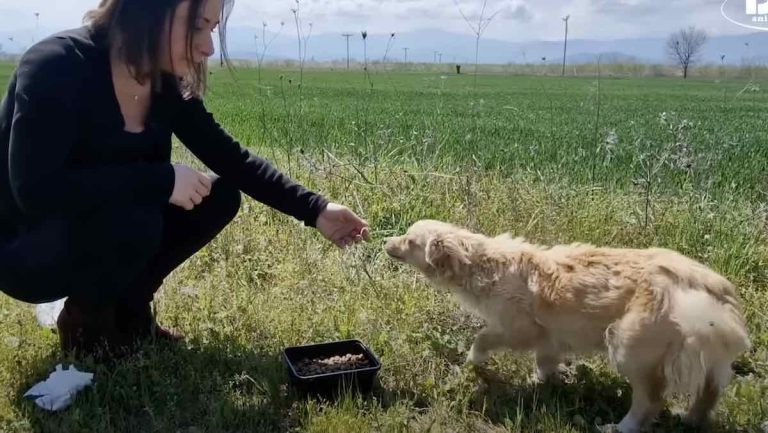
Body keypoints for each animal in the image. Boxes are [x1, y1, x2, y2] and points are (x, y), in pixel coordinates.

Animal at [384, 219, 752, 432]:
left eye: (410, 241)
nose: (385, 242)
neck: (484, 264)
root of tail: (705, 283)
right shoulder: (548, 337)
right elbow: (545, 361)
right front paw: (543, 383)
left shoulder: (518, 328)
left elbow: (483, 337)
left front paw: (474, 361)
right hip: (705, 354)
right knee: (709, 390)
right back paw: (691, 419)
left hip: (627, 345)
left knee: (650, 400)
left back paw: (621, 427)